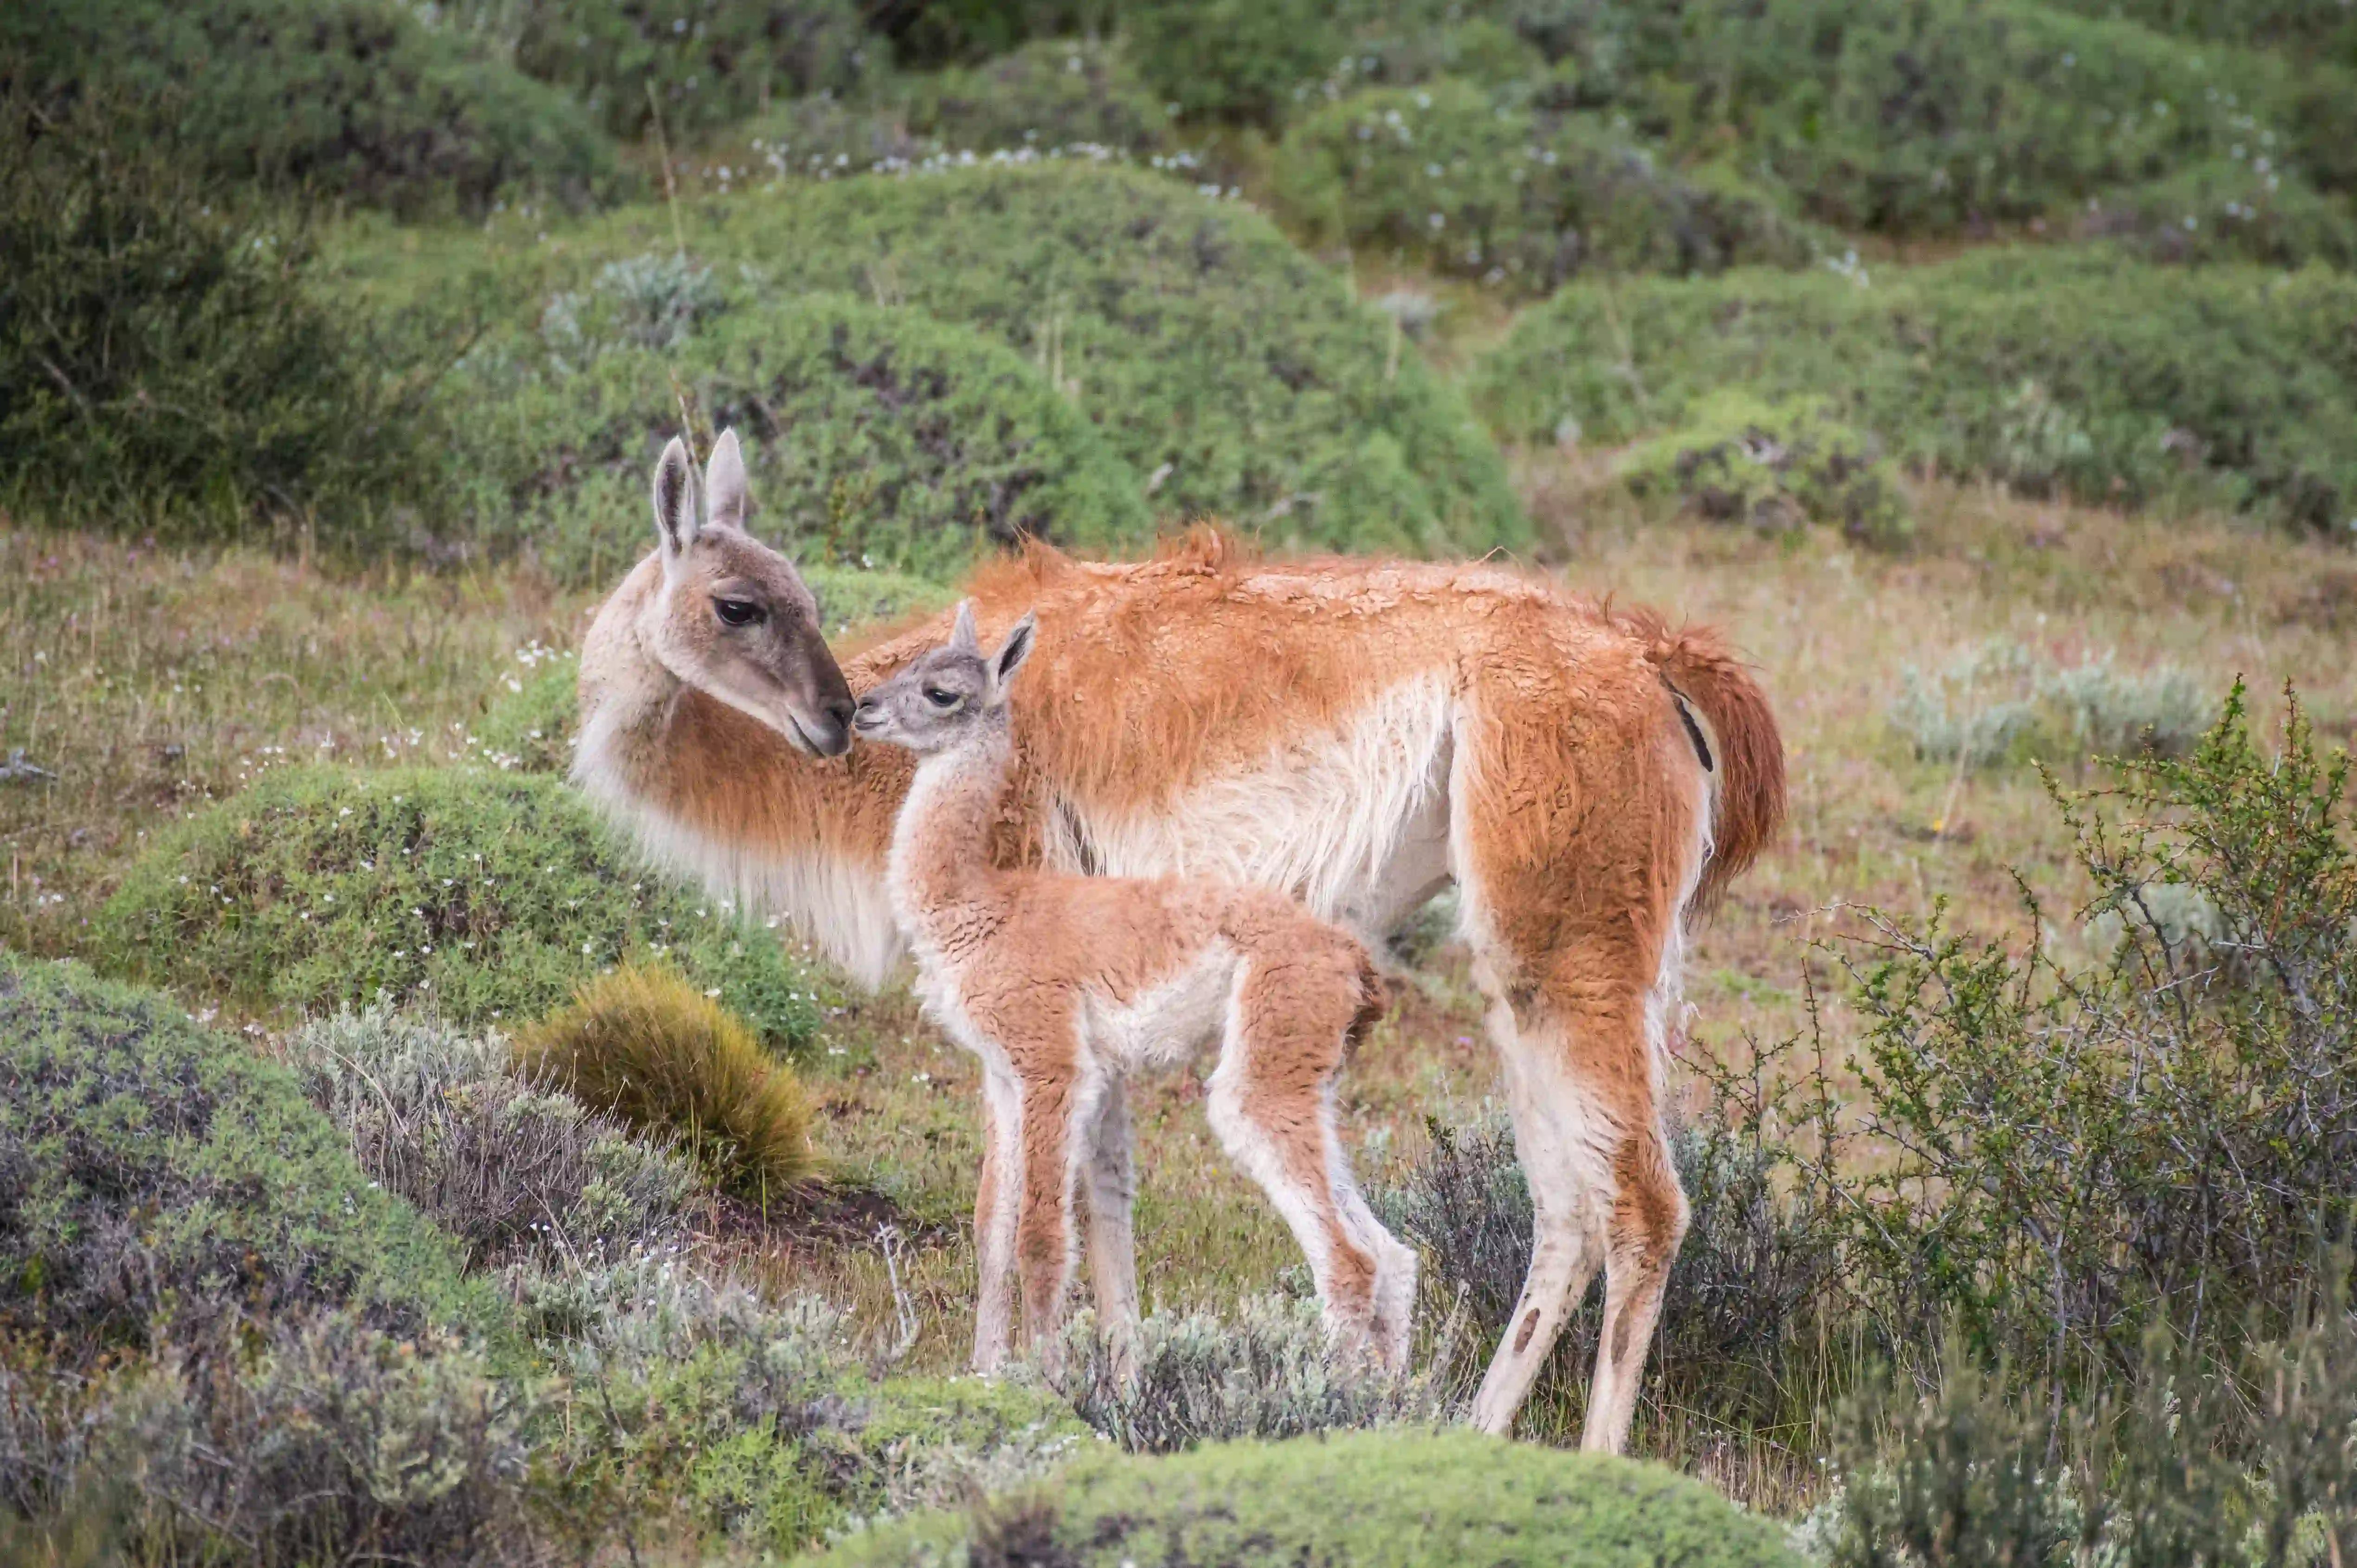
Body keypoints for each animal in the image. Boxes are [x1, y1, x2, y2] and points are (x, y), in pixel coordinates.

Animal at [862, 599, 1414, 1368]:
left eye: (941, 691)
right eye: (909, 665)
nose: (863, 708)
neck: (982, 907)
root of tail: (1355, 962)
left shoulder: (1053, 1062)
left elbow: (1040, 1238)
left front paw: (1047, 1377)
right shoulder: (1001, 1074)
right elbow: (989, 1231)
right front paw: (984, 1371)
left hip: (1264, 1067)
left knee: (1348, 1260)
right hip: (1309, 1074)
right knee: (1391, 1254)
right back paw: (1397, 1392)